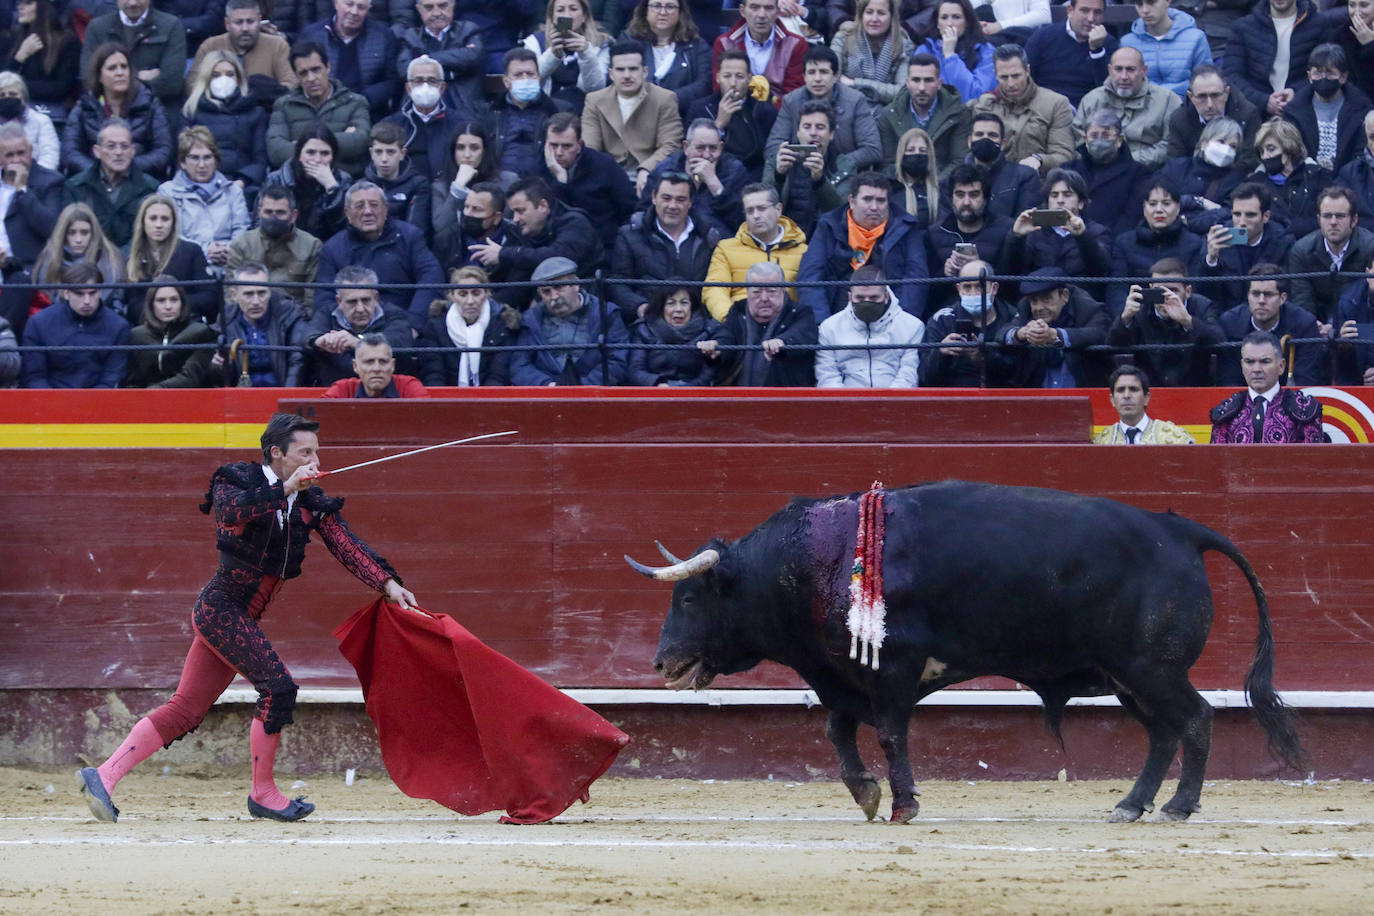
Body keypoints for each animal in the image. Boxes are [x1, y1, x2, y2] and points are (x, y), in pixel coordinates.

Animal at [629, 480, 1302, 823]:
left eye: (689, 597)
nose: (662, 663)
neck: (816, 560)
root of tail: (1182, 530)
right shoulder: (840, 674)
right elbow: (838, 733)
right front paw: (866, 794)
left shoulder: (892, 672)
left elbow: (889, 735)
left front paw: (902, 805)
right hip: (1124, 676)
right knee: (1163, 733)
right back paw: (1130, 806)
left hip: (1152, 669)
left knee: (1196, 718)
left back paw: (1178, 808)